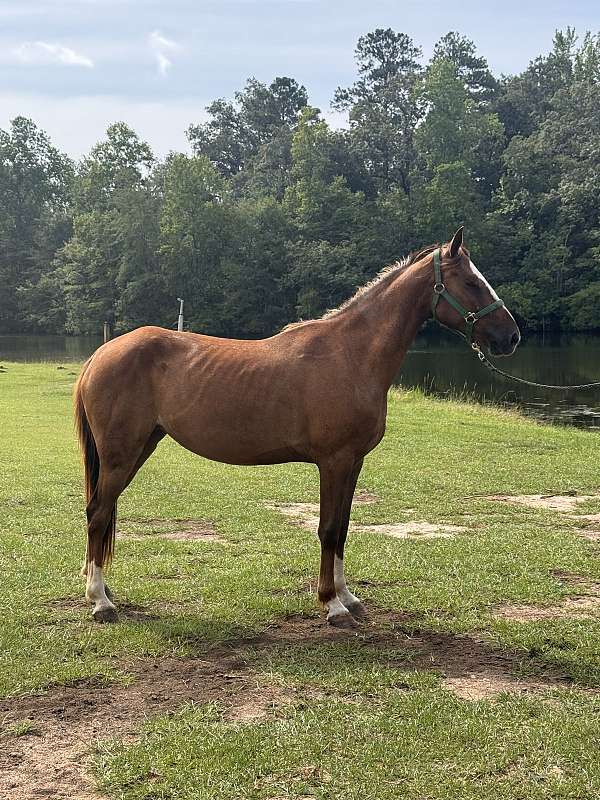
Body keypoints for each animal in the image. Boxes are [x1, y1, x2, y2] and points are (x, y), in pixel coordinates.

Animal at [75, 227, 520, 627]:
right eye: (471, 282)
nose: (511, 336)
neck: (351, 354)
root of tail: (100, 354)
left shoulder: (353, 463)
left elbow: (343, 528)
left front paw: (347, 597)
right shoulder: (334, 461)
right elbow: (328, 529)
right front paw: (332, 605)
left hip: (140, 447)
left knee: (103, 511)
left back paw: (103, 590)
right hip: (120, 454)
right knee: (98, 512)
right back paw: (100, 602)